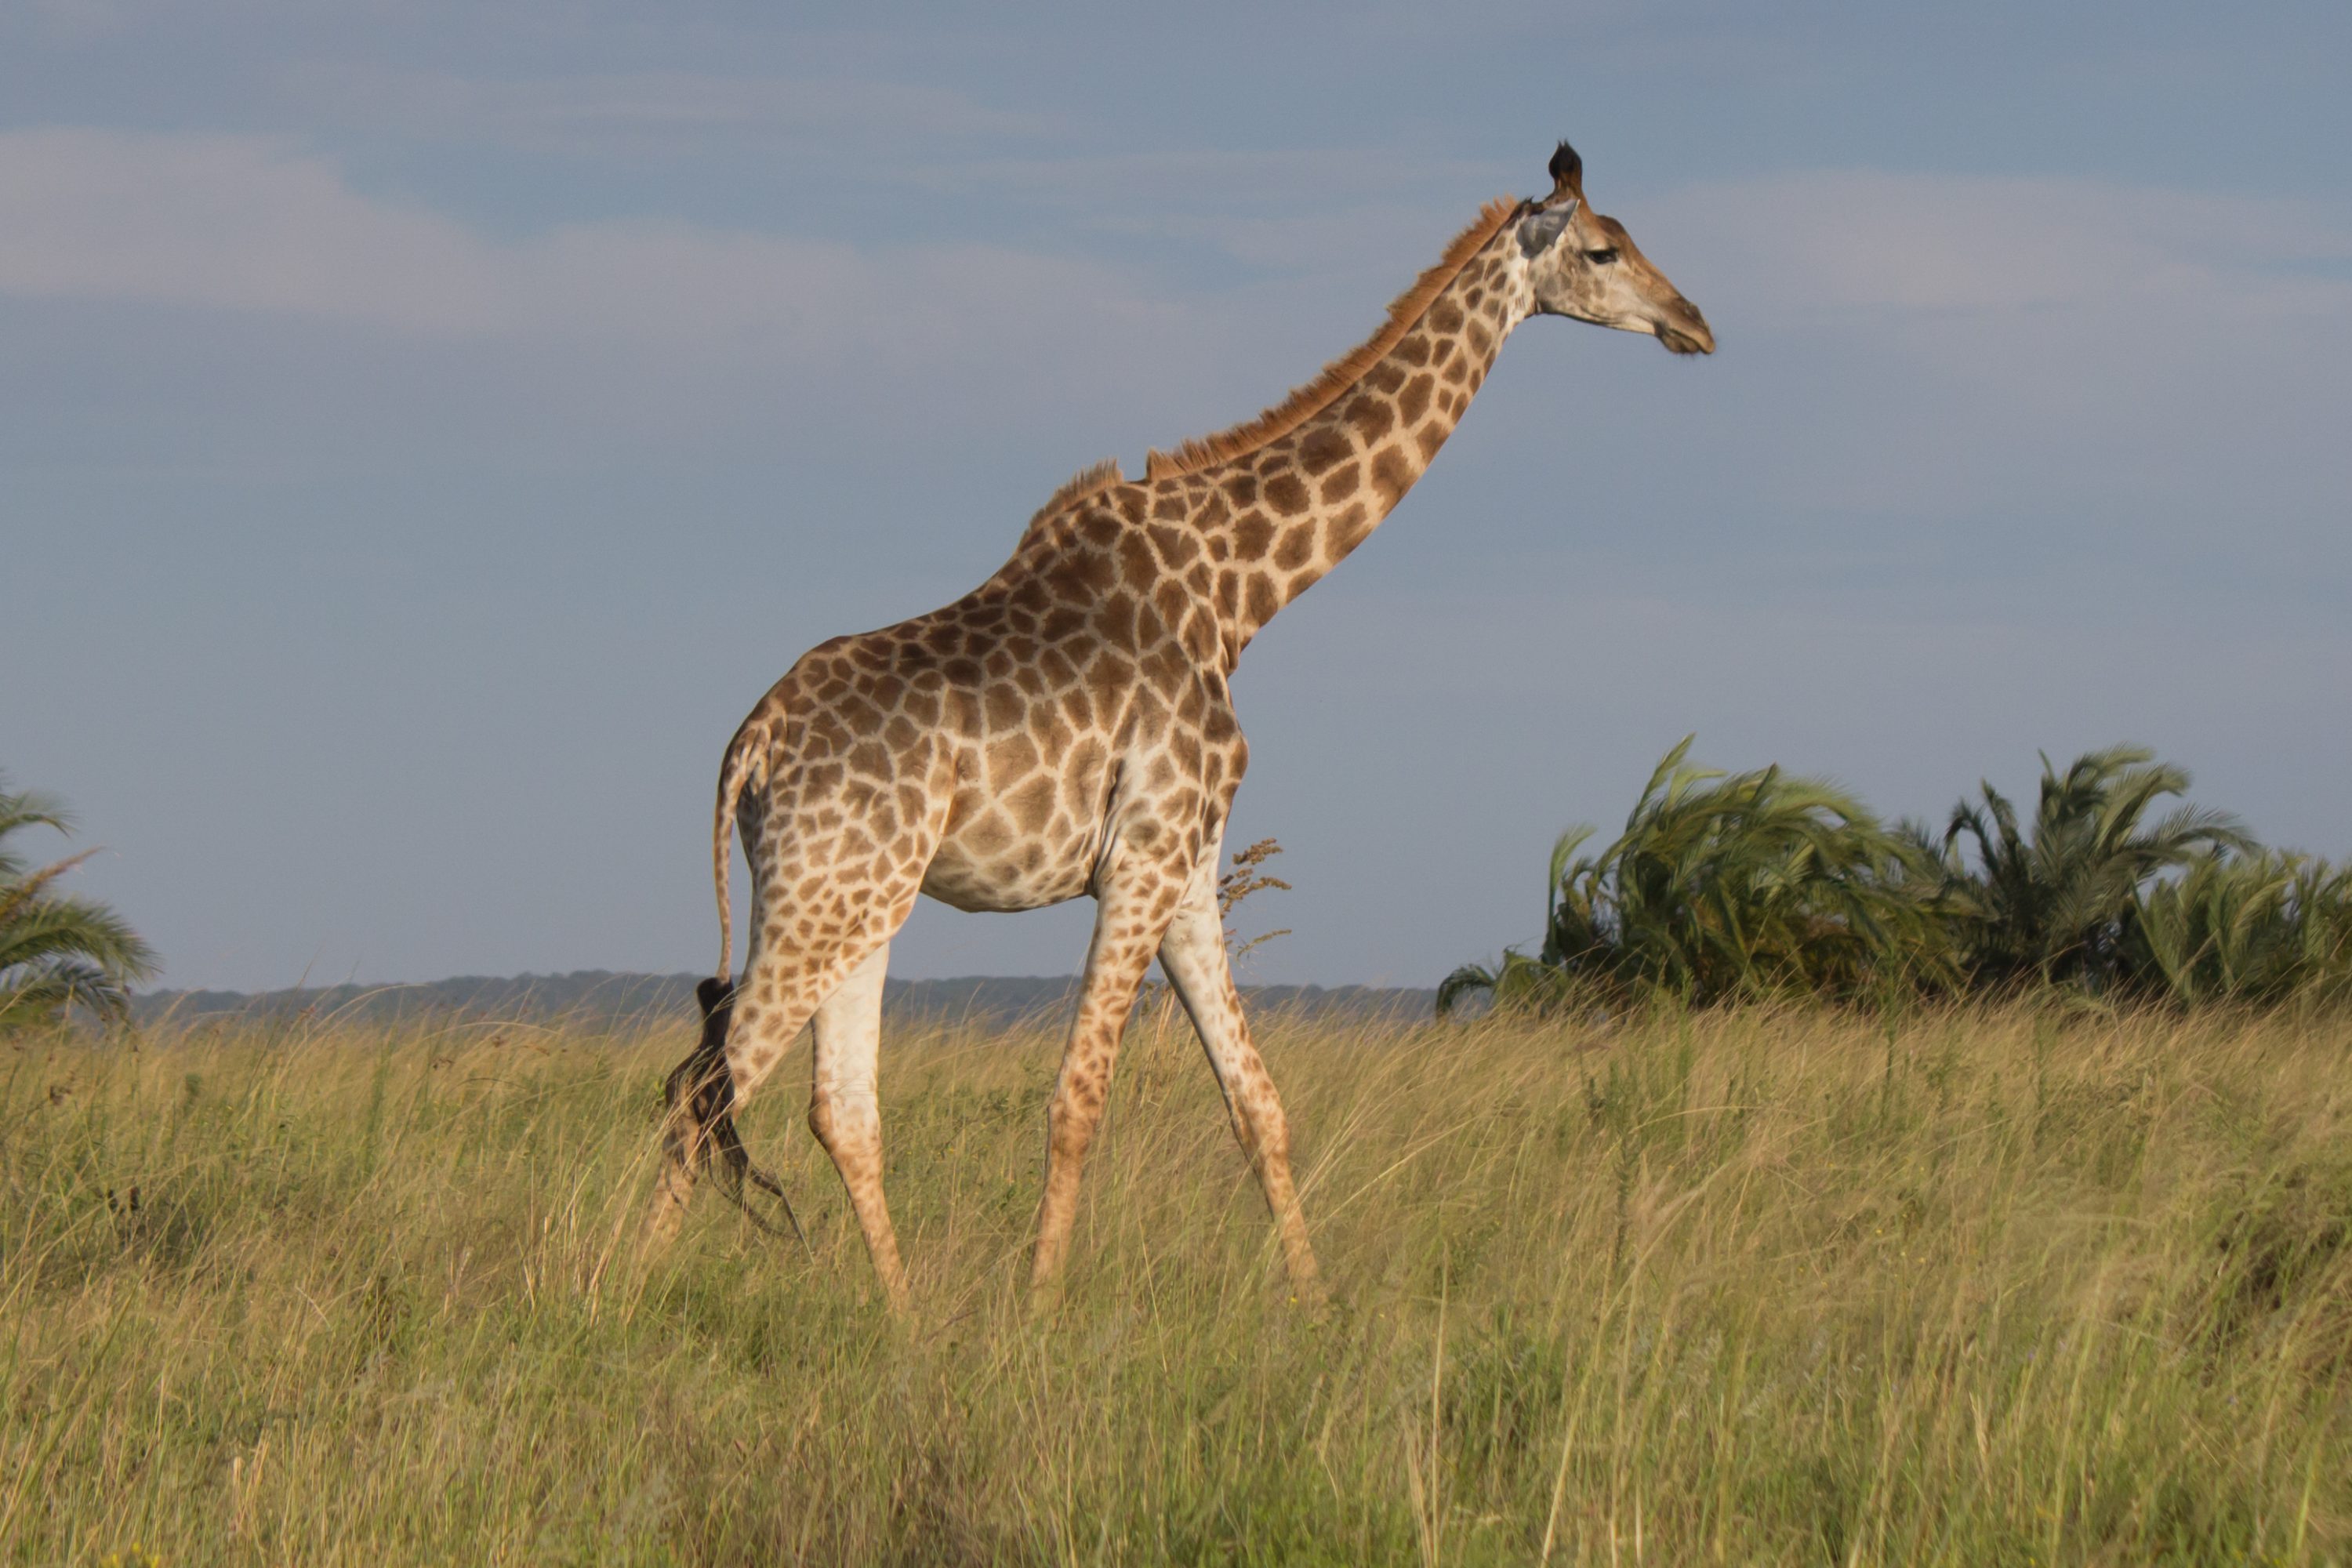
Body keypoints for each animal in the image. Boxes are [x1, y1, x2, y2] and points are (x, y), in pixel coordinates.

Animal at [644, 143, 1712, 1316]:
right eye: (1604, 248)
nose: (1694, 322)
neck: (1240, 587)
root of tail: (749, 747)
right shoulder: (1143, 857)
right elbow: (1078, 1099)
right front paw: (1039, 1314)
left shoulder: (1192, 869)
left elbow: (1259, 1103)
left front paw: (1318, 1311)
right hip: (820, 899)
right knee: (703, 1091)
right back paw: (606, 1297)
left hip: (858, 902)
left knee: (834, 1108)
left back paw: (908, 1323)